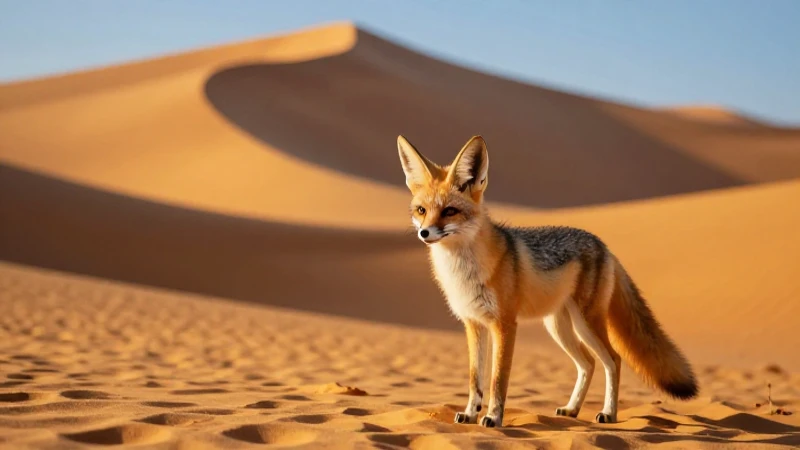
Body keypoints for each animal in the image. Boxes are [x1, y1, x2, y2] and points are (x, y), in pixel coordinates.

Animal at [396, 134, 698, 428]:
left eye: (449, 211)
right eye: (421, 210)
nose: (424, 233)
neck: (463, 272)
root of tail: (603, 245)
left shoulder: (505, 324)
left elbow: (498, 380)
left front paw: (493, 418)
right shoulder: (473, 324)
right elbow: (475, 379)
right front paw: (470, 414)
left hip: (586, 323)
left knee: (613, 360)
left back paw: (608, 413)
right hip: (558, 327)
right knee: (588, 363)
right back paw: (572, 409)